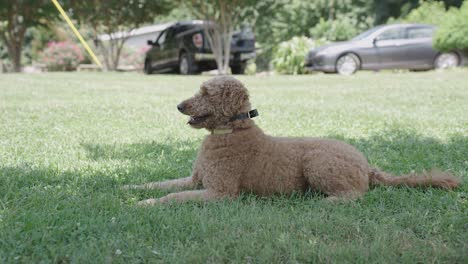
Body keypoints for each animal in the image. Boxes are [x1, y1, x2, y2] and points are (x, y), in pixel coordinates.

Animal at [122, 76, 458, 204]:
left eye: (206, 93)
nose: (179, 106)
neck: (232, 131)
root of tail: (367, 165)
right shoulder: (194, 180)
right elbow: (161, 184)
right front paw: (131, 189)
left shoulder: (220, 193)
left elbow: (172, 197)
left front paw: (146, 204)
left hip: (317, 161)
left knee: (355, 195)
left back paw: (324, 202)